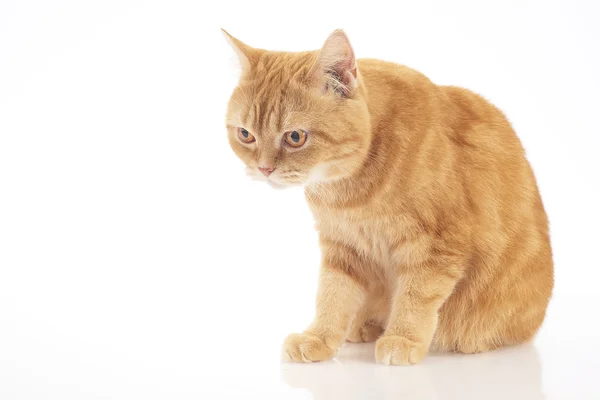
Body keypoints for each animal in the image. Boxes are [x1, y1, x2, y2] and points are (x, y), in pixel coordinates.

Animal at [221, 28, 552, 366]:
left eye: (295, 137)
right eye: (246, 135)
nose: (264, 169)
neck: (350, 191)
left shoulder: (437, 246)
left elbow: (416, 296)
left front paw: (403, 338)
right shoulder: (342, 246)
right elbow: (332, 295)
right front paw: (320, 338)